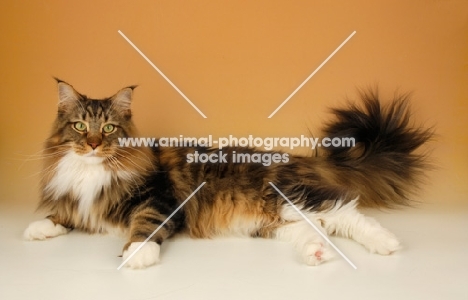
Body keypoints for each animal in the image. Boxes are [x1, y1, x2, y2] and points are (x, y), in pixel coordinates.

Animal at [23, 79, 430, 268]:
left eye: (108, 129)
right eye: (79, 127)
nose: (93, 144)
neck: (90, 172)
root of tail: (295, 157)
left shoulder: (159, 200)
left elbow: (146, 224)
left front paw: (137, 252)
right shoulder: (79, 201)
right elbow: (64, 215)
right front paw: (39, 227)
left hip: (286, 199)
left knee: (345, 213)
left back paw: (385, 243)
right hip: (269, 220)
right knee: (314, 228)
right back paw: (316, 253)